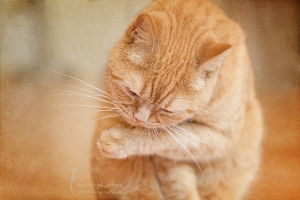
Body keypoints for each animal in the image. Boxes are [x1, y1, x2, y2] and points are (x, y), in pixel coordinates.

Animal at [91, 0, 262, 199]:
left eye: (167, 110)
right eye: (132, 92)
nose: (139, 119)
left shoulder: (220, 138)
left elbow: (165, 138)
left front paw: (120, 140)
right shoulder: (170, 157)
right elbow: (175, 177)